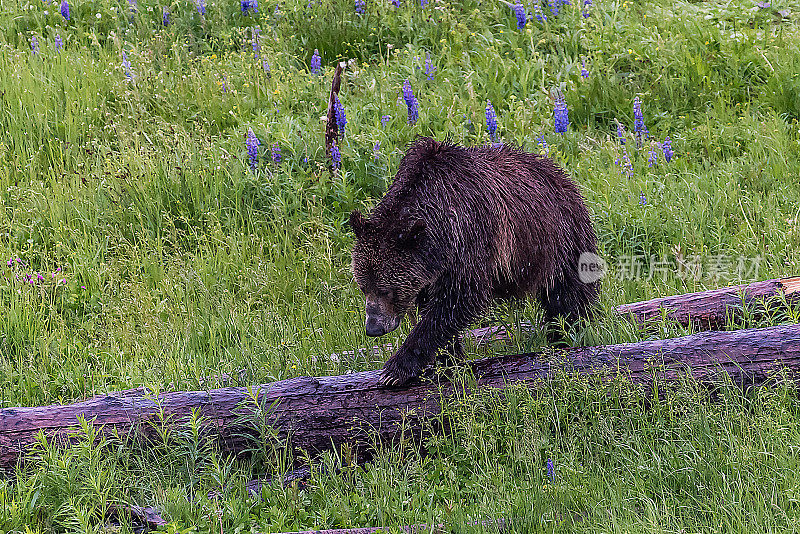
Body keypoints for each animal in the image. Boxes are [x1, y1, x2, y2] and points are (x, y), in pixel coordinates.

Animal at [352, 137, 600, 390]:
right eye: (363, 287)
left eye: (386, 290)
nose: (373, 328)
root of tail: (562, 175)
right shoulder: (430, 269)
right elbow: (434, 307)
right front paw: (448, 360)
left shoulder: (470, 237)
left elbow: (457, 301)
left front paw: (395, 368)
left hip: (558, 240)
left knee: (567, 297)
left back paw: (567, 337)